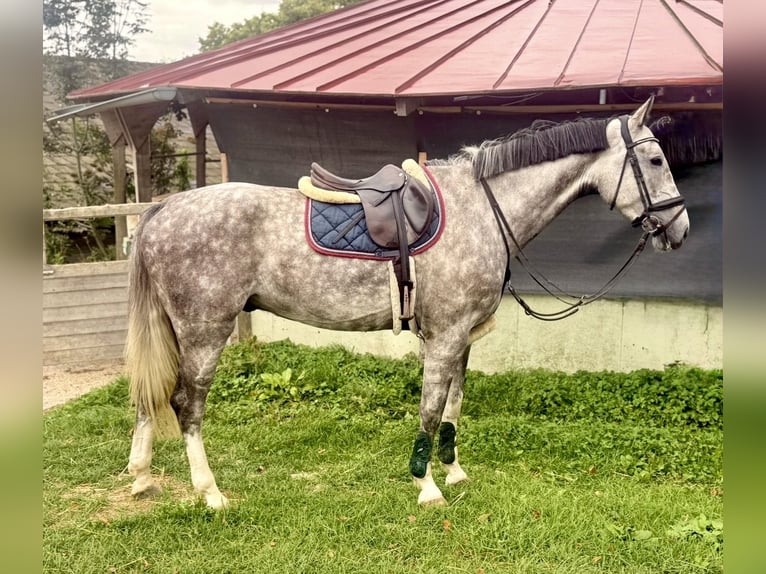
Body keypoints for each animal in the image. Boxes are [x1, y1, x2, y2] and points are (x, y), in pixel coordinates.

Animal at [124, 97, 689, 508]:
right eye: (656, 159)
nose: (679, 230)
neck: (481, 208)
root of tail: (163, 209)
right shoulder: (445, 336)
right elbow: (431, 408)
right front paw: (426, 486)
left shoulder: (462, 337)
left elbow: (454, 406)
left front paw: (454, 471)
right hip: (204, 331)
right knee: (186, 404)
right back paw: (210, 493)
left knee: (151, 395)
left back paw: (142, 477)